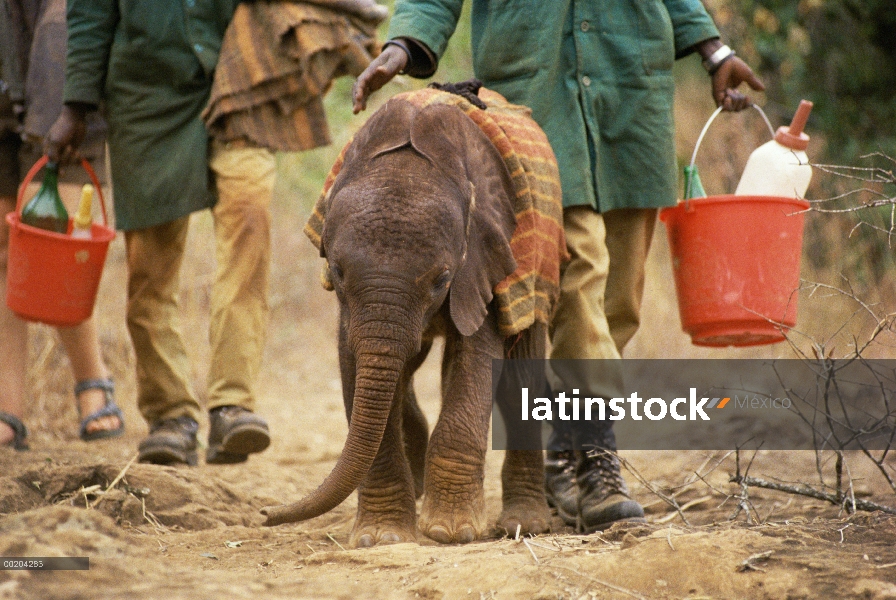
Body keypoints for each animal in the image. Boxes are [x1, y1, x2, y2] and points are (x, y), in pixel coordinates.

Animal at [262, 85, 564, 548]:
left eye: (442, 279)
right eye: (337, 271)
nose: (265, 514)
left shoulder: (484, 259)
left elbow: (476, 358)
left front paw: (450, 532)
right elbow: (357, 365)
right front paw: (380, 537)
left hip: (536, 275)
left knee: (520, 373)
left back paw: (523, 525)